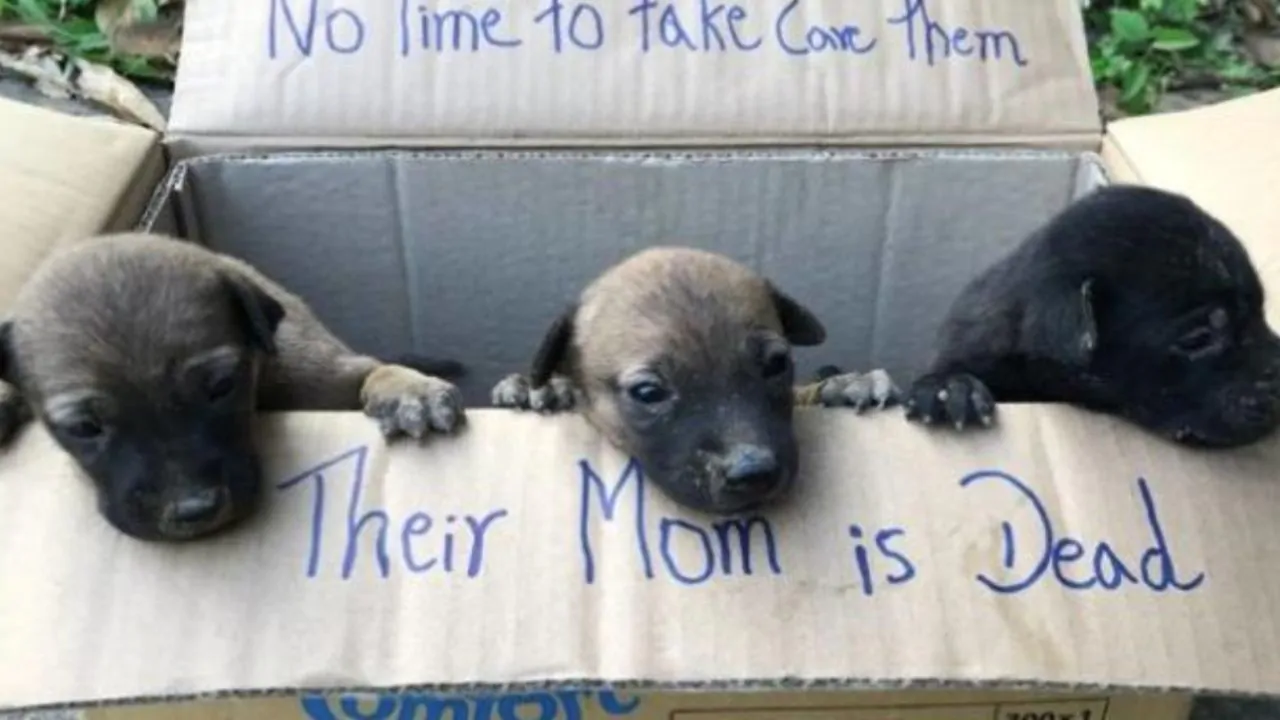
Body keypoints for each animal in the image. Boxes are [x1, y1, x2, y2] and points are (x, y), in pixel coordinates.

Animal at [0, 233, 468, 540]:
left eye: (223, 386)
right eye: (83, 427)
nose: (194, 511)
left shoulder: (317, 374)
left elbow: (371, 372)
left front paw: (407, 389)